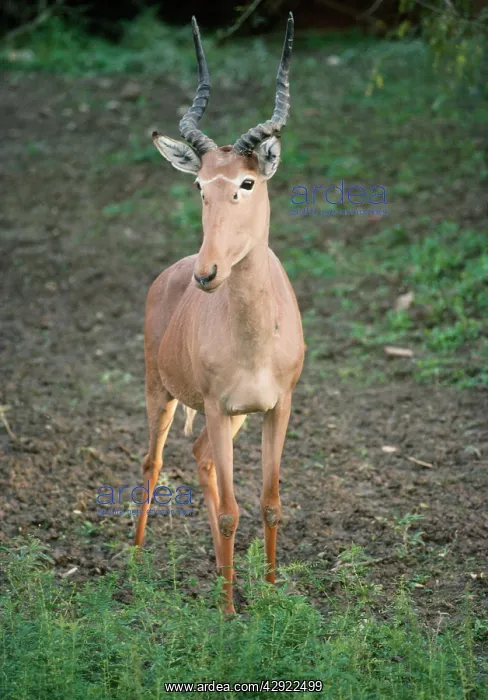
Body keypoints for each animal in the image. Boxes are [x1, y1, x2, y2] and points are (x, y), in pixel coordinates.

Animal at [134, 13, 304, 614]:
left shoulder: (277, 407)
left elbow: (271, 502)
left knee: (202, 457)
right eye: (199, 183)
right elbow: (233, 511)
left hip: (230, 419)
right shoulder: (212, 403)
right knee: (155, 462)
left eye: (247, 181)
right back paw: (134, 562)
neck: (253, 337)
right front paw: (231, 613)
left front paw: (272, 597)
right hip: (162, 392)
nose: (207, 273)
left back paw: (215, 569)